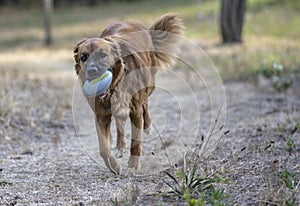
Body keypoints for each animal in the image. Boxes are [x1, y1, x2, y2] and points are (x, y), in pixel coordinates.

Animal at [74, 13, 184, 174]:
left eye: (102, 55)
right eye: (84, 57)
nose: (92, 71)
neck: (115, 85)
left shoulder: (135, 110)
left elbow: (136, 141)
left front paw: (133, 164)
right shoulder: (100, 115)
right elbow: (103, 148)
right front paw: (114, 165)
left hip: (149, 84)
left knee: (145, 103)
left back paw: (148, 125)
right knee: (120, 120)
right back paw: (120, 146)